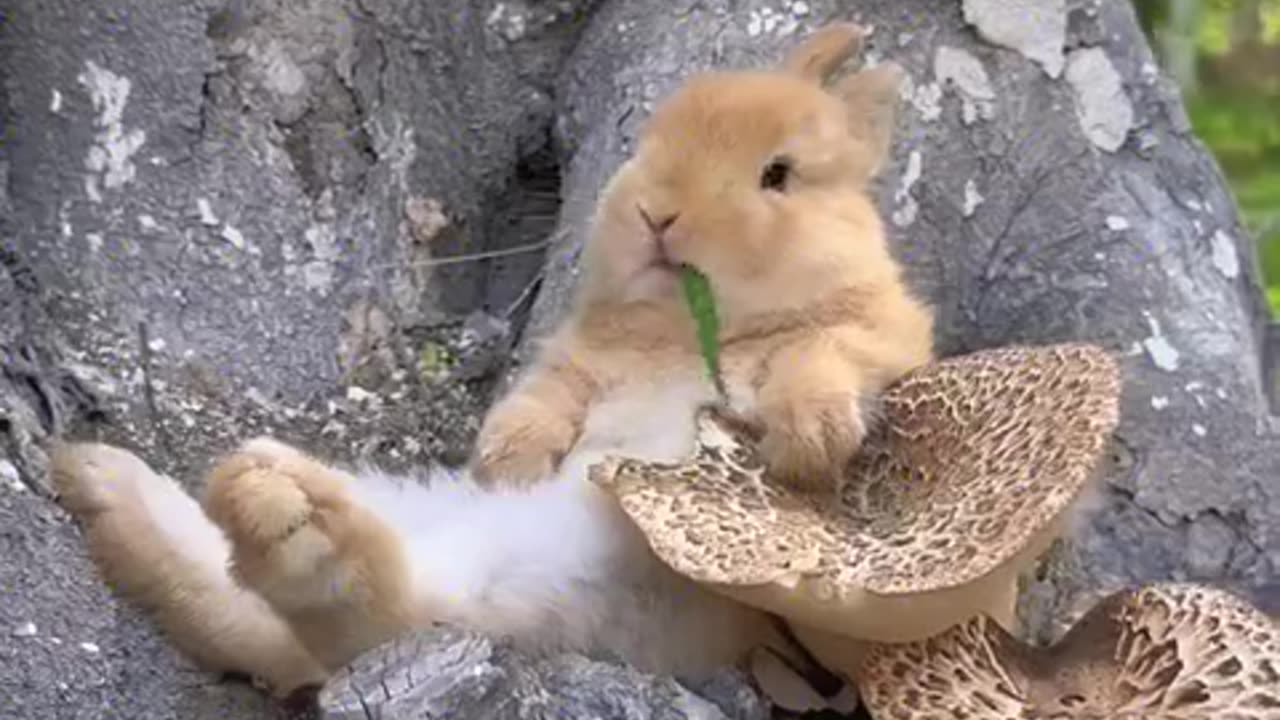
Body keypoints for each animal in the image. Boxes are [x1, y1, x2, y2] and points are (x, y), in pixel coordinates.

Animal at [476, 22, 936, 491]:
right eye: (647, 145)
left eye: (778, 174)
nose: (655, 215)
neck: (689, 336)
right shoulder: (574, 365)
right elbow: (548, 394)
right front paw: (506, 463)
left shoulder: (885, 338)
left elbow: (818, 350)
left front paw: (809, 442)